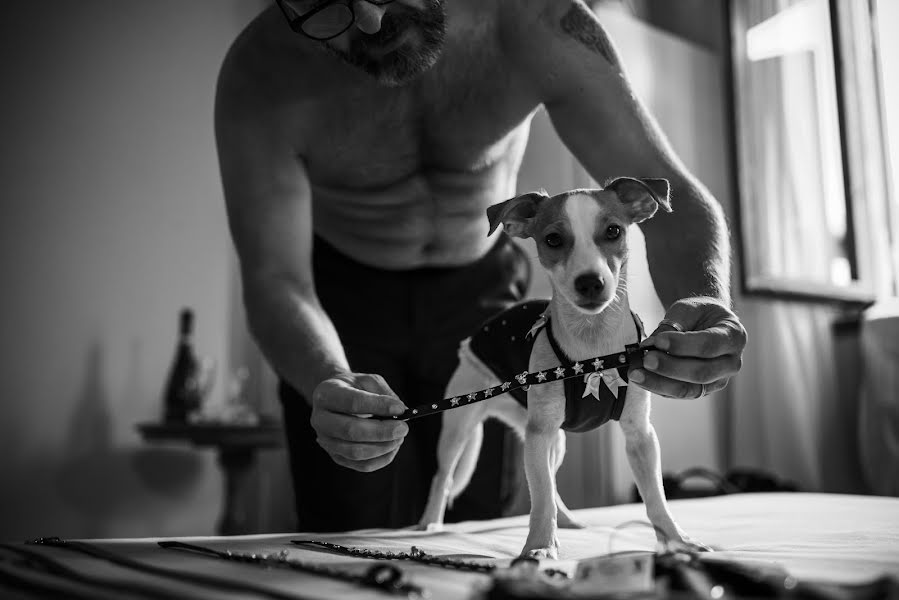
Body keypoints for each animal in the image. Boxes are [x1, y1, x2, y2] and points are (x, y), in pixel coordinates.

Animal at [414, 177, 704, 556]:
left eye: (614, 231)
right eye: (553, 239)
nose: (590, 282)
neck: (594, 352)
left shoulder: (640, 436)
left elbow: (655, 497)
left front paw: (676, 540)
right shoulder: (539, 435)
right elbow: (540, 498)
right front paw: (539, 547)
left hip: (553, 439)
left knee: (549, 482)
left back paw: (566, 520)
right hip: (460, 426)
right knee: (443, 476)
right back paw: (429, 523)